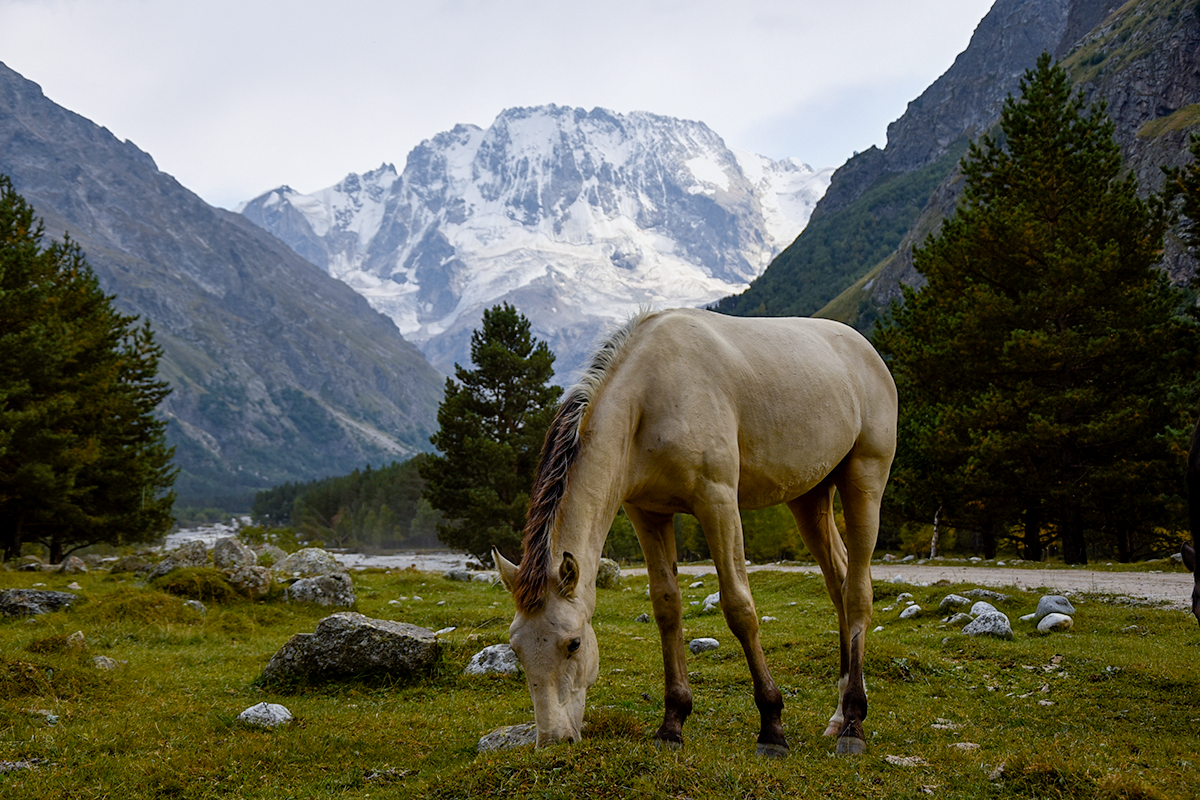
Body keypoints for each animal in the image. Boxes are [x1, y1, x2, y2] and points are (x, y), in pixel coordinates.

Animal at [492, 309, 897, 758]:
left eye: (574, 643)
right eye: (516, 650)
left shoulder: (717, 502)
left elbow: (739, 608)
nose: (553, 740)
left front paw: (771, 726)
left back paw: (853, 724)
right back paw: (839, 715)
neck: (651, 393)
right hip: (810, 499)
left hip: (865, 480)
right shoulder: (647, 513)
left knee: (857, 592)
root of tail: (866, 351)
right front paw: (672, 723)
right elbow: (667, 608)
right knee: (839, 583)